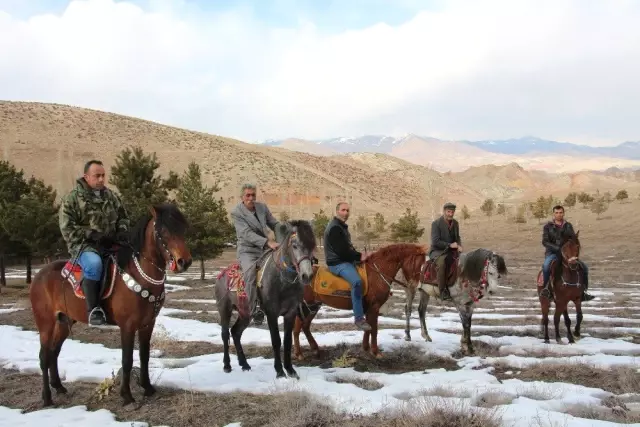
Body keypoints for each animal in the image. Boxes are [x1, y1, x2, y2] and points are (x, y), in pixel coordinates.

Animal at [28, 204, 192, 408]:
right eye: (163, 231)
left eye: (183, 229)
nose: (184, 262)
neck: (140, 275)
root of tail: (39, 276)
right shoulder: (127, 326)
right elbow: (127, 360)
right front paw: (127, 396)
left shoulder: (147, 324)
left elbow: (144, 356)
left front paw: (148, 388)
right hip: (46, 323)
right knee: (44, 356)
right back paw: (47, 398)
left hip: (64, 322)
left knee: (54, 352)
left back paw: (59, 387)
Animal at [214, 222, 316, 380]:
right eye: (294, 245)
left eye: (312, 245)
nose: (307, 276)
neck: (282, 279)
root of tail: (222, 274)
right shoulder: (271, 313)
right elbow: (276, 341)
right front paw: (279, 371)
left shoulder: (291, 313)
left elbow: (287, 341)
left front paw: (290, 370)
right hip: (225, 309)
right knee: (225, 334)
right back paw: (227, 366)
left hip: (245, 313)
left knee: (236, 332)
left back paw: (245, 364)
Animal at [292, 242, 428, 360]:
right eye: (419, 263)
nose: (415, 285)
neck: (376, 273)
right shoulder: (374, 307)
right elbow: (374, 329)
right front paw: (375, 352)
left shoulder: (369, 308)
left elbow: (368, 327)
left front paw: (366, 348)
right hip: (306, 306)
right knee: (297, 328)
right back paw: (299, 354)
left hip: (313, 306)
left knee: (305, 326)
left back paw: (315, 349)